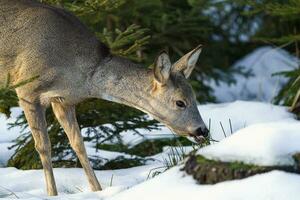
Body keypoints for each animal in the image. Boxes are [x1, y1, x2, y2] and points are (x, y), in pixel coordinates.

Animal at [0, 0, 209, 196]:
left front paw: (97, 190)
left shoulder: (63, 100)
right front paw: (52, 194)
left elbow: (79, 144)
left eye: (194, 97)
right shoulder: (27, 89)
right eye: (180, 102)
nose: (203, 130)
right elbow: (43, 146)